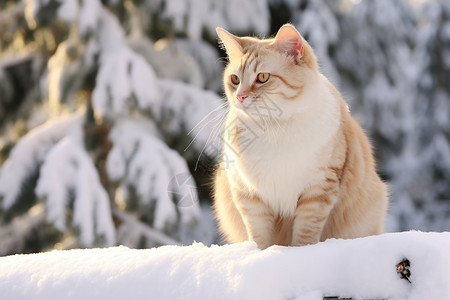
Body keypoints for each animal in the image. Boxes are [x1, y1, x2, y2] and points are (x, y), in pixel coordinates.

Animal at [213, 23, 388, 250]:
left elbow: (305, 233)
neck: (274, 130)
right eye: (235, 79)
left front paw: (300, 253)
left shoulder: (319, 189)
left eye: (263, 77)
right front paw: (260, 254)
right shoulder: (248, 196)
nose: (240, 97)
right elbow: (260, 237)